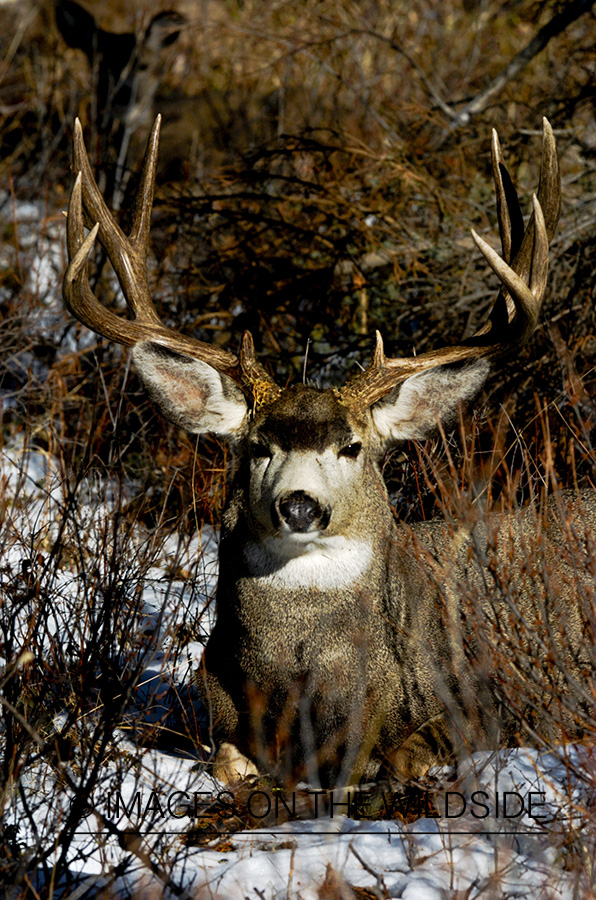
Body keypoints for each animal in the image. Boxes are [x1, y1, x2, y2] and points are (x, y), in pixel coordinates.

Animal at [62, 116, 596, 789]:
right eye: (258, 445)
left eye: (351, 447)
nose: (299, 505)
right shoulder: (220, 715)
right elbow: (229, 760)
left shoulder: (466, 714)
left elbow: (395, 756)